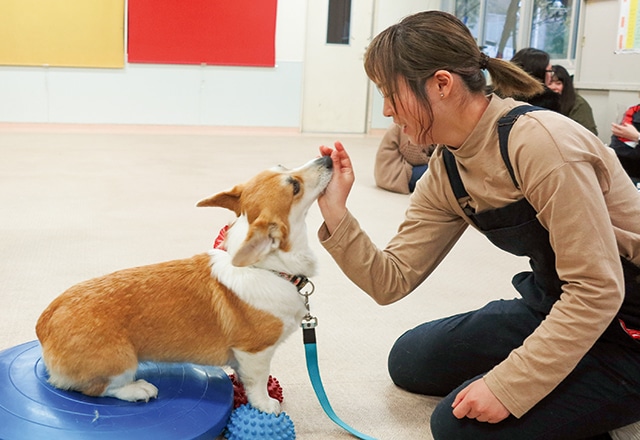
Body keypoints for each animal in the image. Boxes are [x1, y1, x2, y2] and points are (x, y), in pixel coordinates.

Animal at [35, 156, 332, 414]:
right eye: (295, 186)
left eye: (282, 166)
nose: (327, 159)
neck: (271, 268)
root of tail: (45, 323)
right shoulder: (255, 352)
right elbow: (257, 383)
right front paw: (266, 405)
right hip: (122, 360)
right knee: (97, 388)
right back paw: (137, 389)